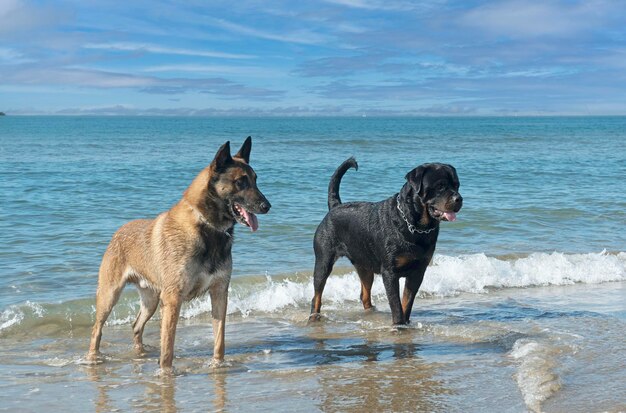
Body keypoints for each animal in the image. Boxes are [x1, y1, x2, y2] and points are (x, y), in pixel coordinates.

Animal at [87, 137, 268, 368]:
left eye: (255, 180)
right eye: (240, 182)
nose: (267, 206)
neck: (206, 227)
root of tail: (118, 232)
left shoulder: (219, 293)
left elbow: (219, 340)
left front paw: (218, 365)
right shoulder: (173, 299)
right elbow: (167, 349)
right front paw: (165, 372)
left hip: (151, 301)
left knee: (136, 326)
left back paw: (140, 353)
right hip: (109, 296)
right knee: (96, 330)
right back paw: (93, 358)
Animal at [308, 158, 458, 326]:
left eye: (457, 185)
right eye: (440, 186)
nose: (458, 198)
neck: (415, 226)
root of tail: (335, 206)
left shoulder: (418, 272)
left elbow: (407, 301)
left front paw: (405, 323)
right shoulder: (390, 273)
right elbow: (396, 304)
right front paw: (399, 324)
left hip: (364, 265)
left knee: (365, 294)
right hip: (323, 261)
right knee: (317, 293)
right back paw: (314, 316)